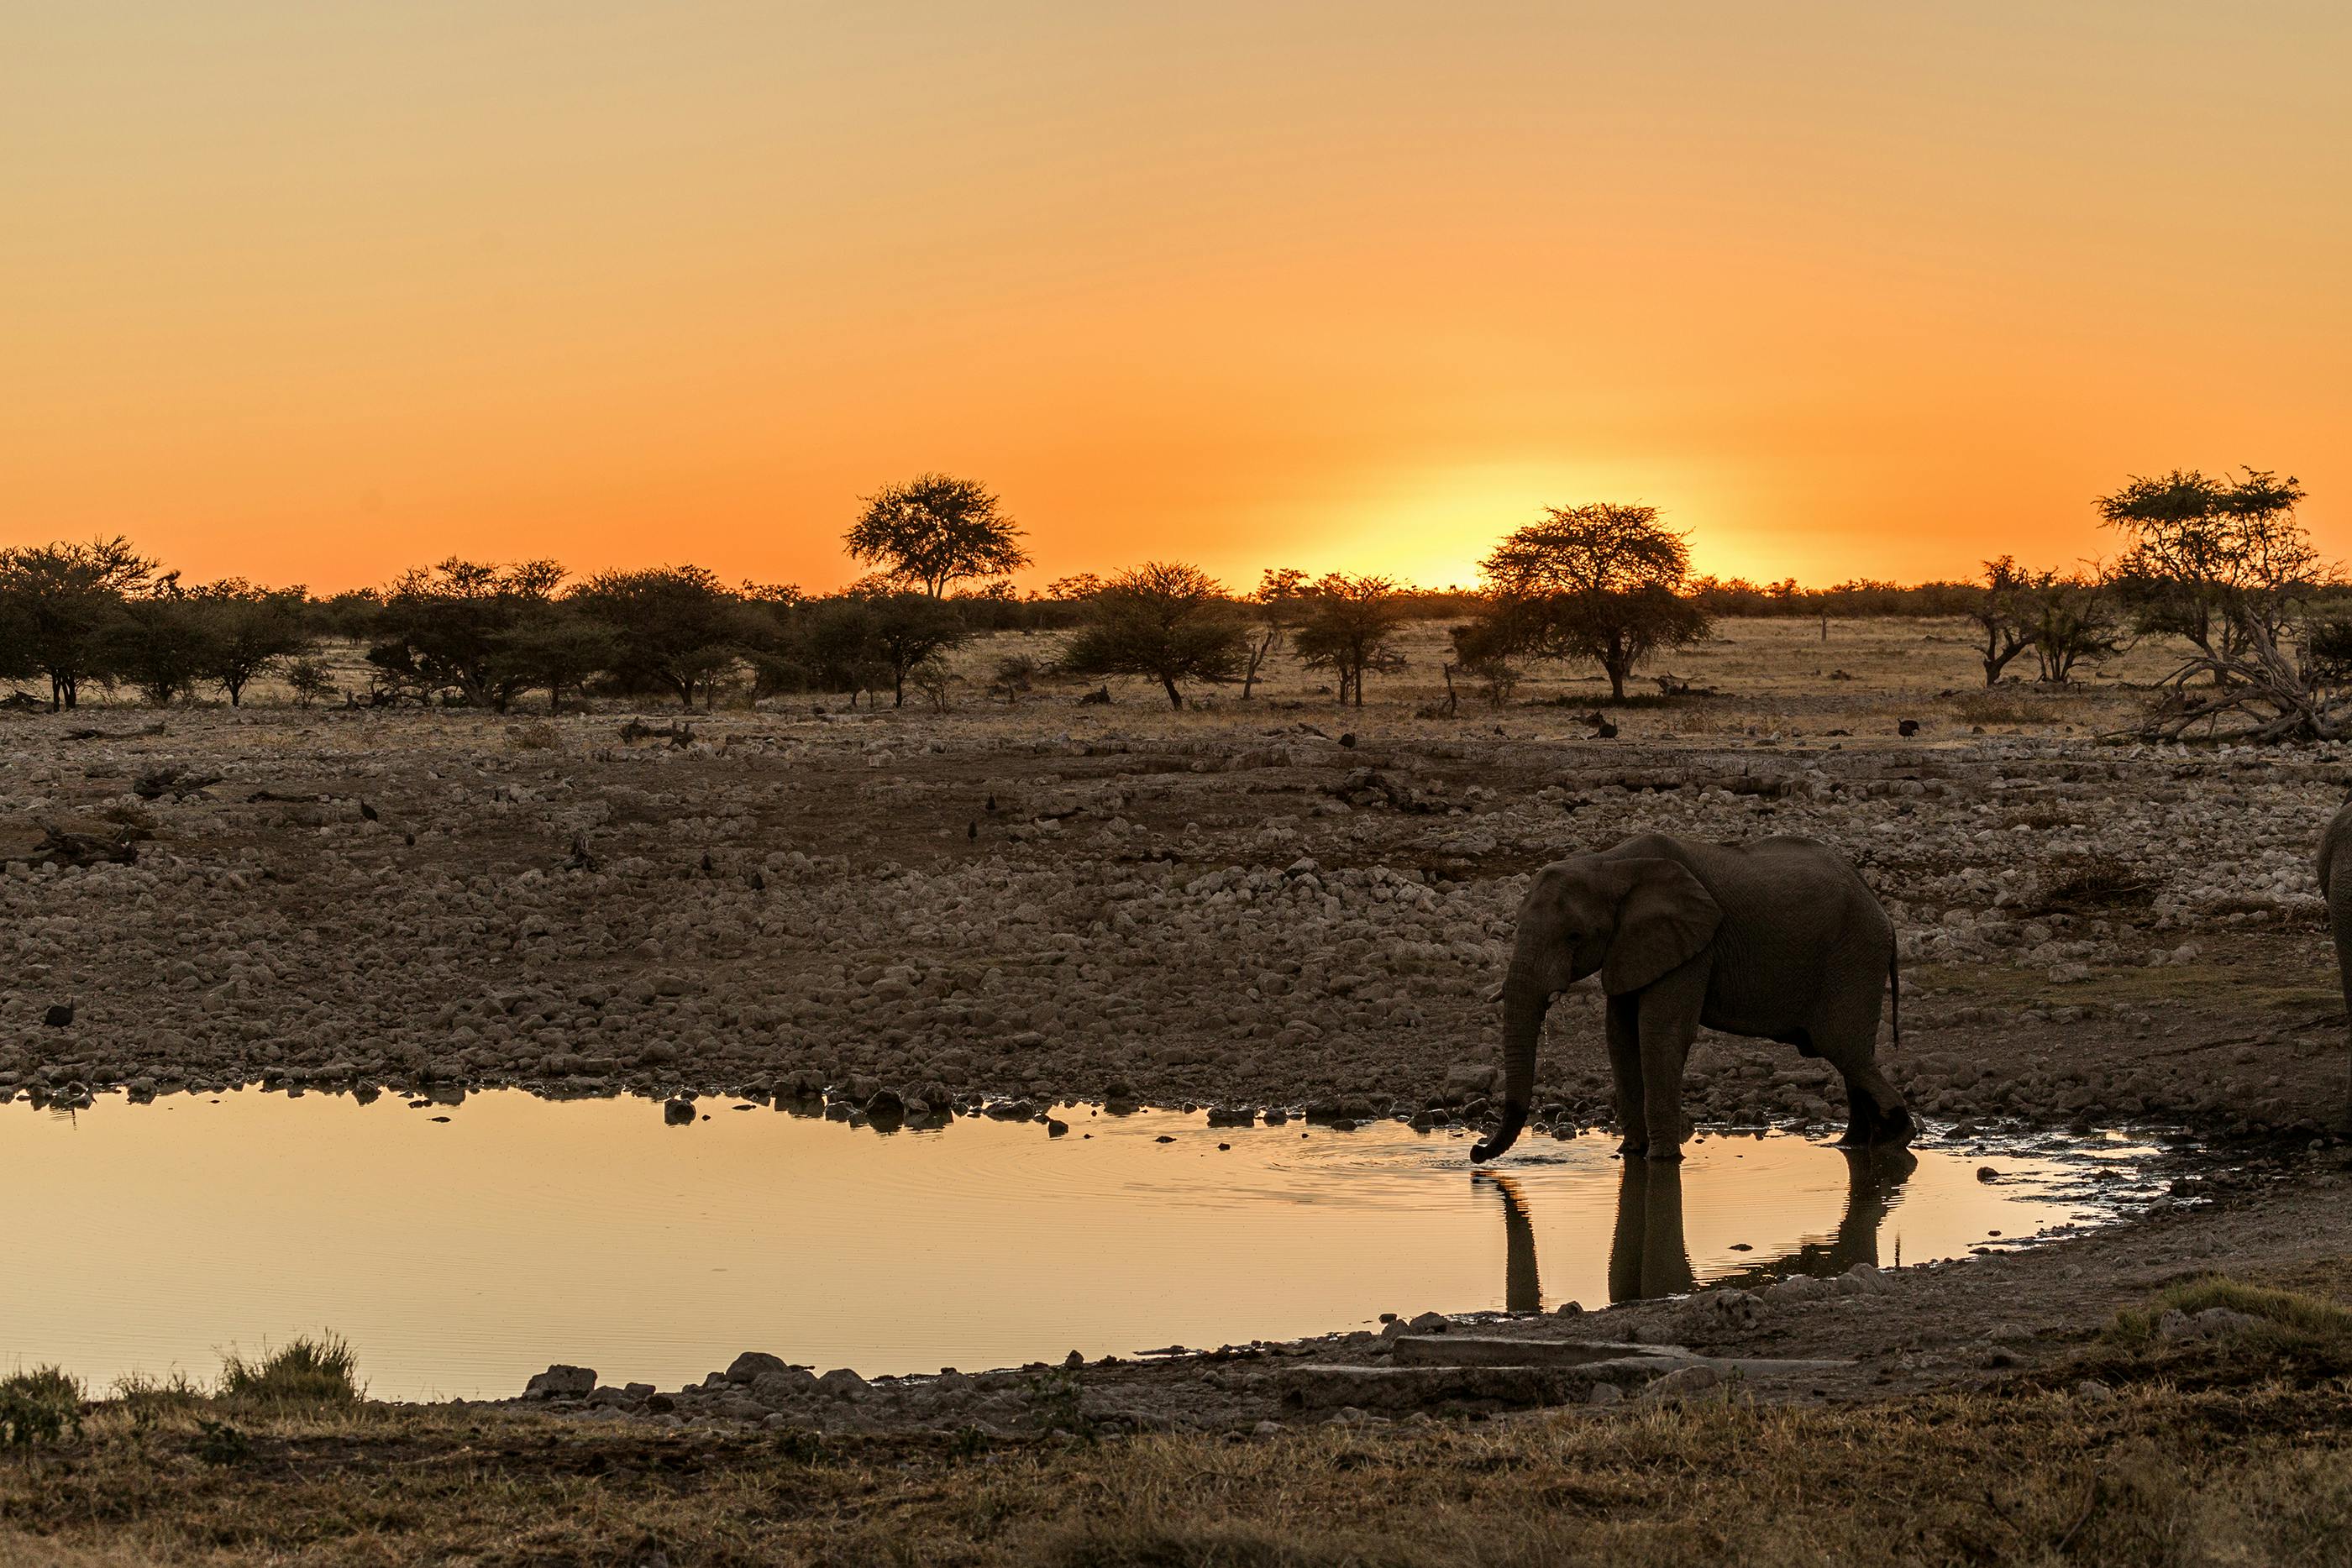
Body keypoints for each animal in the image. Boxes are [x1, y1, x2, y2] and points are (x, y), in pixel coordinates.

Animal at [1467, 831, 1909, 1166]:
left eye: (1574, 936)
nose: (1476, 1152)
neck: (1609, 866)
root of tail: (1881, 908)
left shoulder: (1693, 945)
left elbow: (1660, 1033)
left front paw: (1661, 1160)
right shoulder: (1631, 945)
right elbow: (1620, 1036)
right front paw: (1629, 1153)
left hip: (1853, 956)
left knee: (1842, 1048)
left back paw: (1895, 1138)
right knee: (1853, 1055)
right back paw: (1852, 1144)